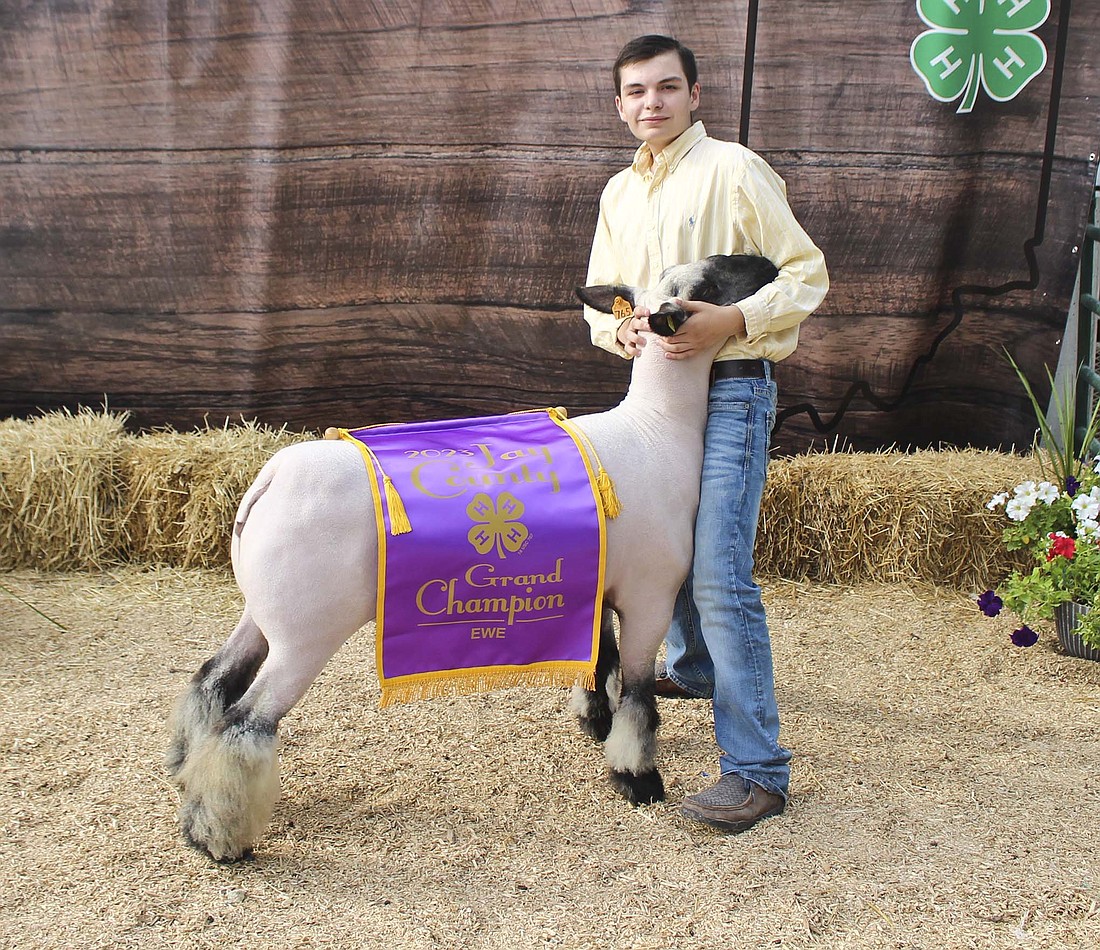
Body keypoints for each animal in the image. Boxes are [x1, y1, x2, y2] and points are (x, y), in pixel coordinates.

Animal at [167, 252, 778, 862]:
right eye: (707, 284)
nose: (768, 264)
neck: (658, 428)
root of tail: (269, 477)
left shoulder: (600, 583)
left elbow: (598, 663)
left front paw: (596, 727)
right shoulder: (650, 595)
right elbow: (638, 696)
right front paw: (638, 779)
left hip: (265, 611)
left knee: (212, 680)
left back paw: (184, 775)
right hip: (306, 631)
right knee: (245, 724)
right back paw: (218, 836)